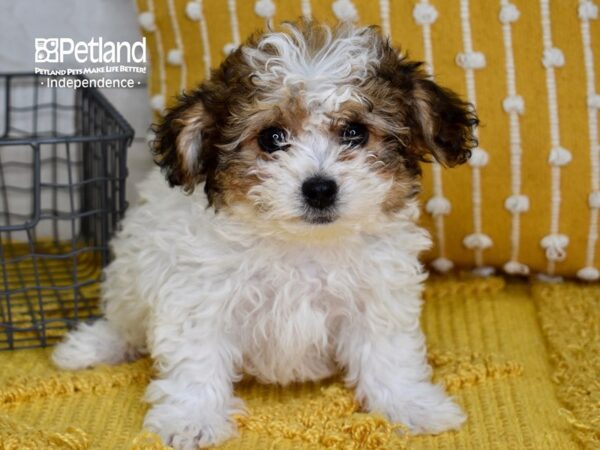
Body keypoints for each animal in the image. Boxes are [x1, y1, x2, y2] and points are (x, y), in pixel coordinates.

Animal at [55, 21, 478, 450]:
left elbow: (388, 354)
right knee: (125, 321)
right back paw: (91, 346)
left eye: (355, 132)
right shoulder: (201, 297)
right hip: (131, 268)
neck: (301, 245)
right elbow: (197, 359)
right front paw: (192, 418)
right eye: (272, 138)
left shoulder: (376, 297)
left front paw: (412, 404)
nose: (319, 189)